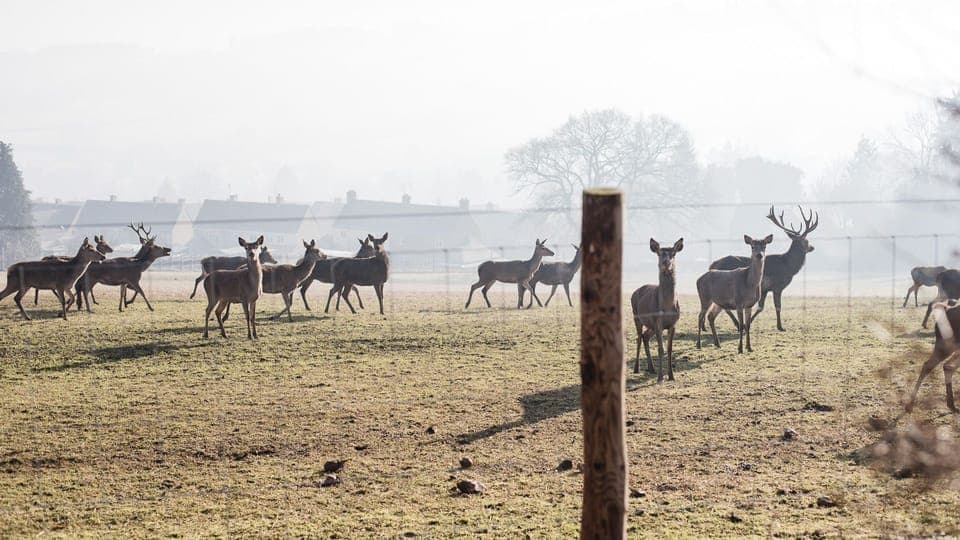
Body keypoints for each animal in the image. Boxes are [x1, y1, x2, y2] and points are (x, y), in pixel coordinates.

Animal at [631, 238, 683, 381]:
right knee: (639, 337)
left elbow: (669, 348)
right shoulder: (658, 322)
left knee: (645, 336)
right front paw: (660, 378)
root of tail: (635, 292)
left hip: (651, 325)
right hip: (636, 316)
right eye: (659, 253)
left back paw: (651, 368)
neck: (667, 307)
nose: (666, 262)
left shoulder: (673, 323)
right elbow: (661, 349)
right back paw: (637, 368)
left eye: (673, 253)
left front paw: (671, 376)